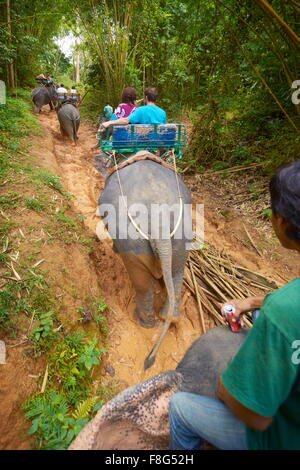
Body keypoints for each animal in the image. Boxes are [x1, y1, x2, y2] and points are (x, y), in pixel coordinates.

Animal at [94, 152, 192, 370]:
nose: (94, 157)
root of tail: (158, 221)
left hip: (133, 242)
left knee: (141, 282)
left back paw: (142, 321)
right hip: (180, 238)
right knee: (177, 271)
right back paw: (170, 317)